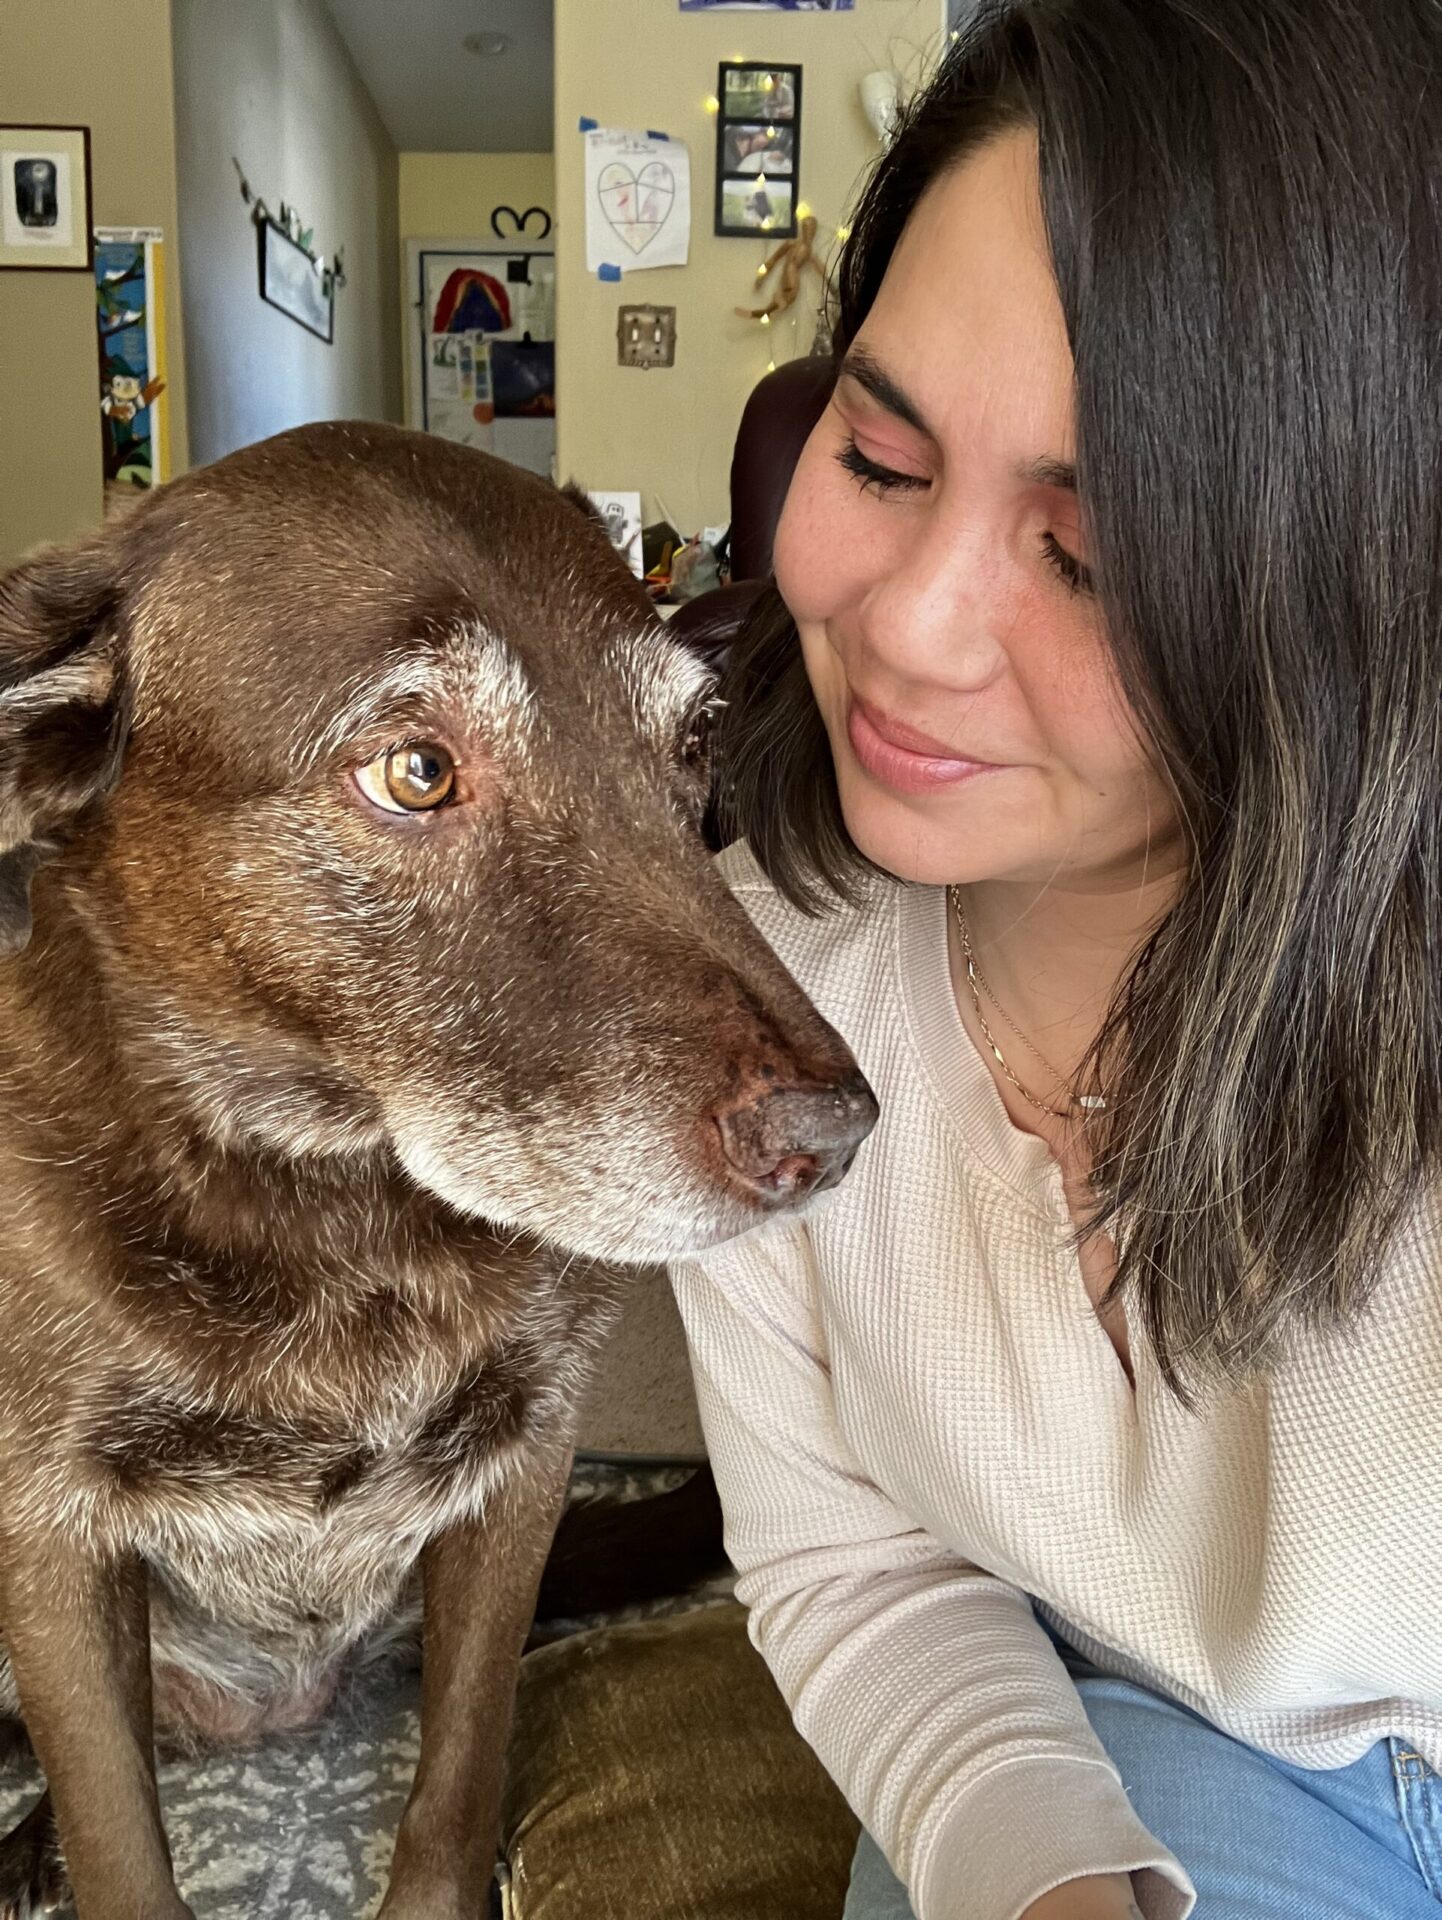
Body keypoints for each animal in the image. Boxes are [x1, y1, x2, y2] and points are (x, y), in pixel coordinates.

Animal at [0, 428, 875, 1920]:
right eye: (415, 770)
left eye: (690, 745)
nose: (836, 1134)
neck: (332, 1213)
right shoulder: (48, 1537)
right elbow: (121, 1838)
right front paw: (82, 1845)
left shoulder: (519, 1469)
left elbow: (460, 1765)